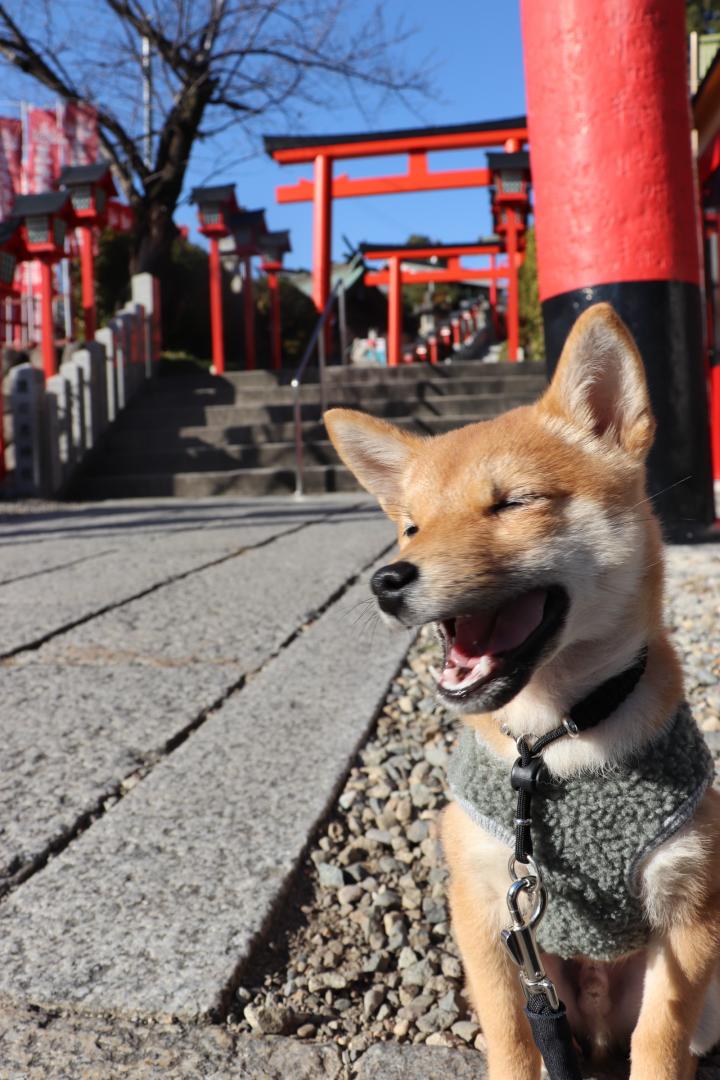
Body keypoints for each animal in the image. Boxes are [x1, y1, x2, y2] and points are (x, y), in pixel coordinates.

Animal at [325, 306, 720, 1080]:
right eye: (410, 525)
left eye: (512, 503)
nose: (385, 580)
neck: (554, 740)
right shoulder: (485, 910)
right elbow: (511, 1040)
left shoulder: (688, 915)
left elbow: (659, 1045)